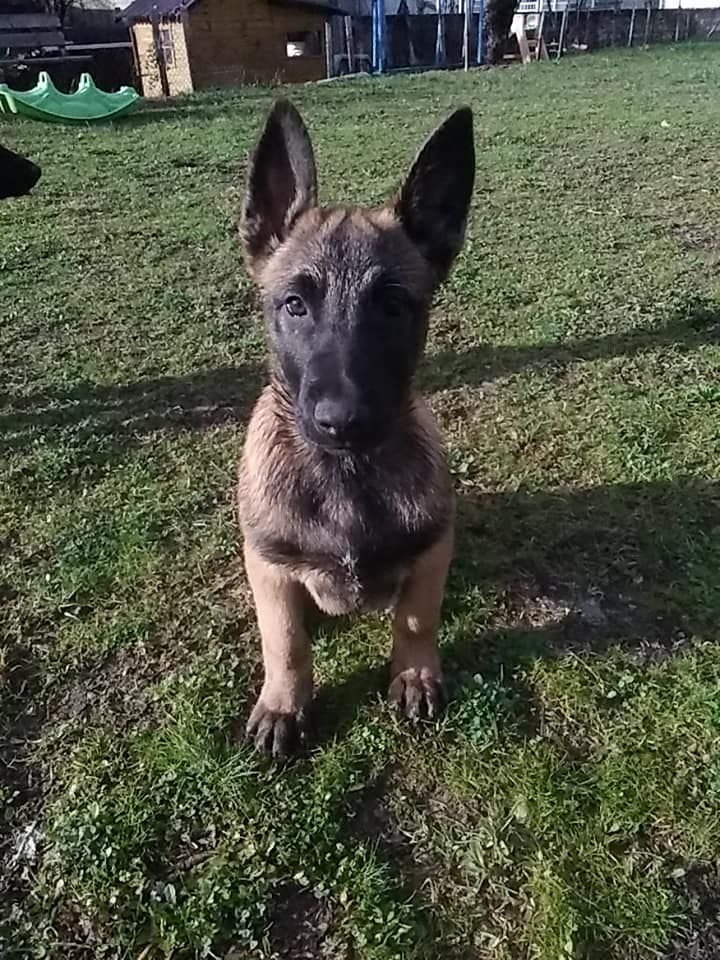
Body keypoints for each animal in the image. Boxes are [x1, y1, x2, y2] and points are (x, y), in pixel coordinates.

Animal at [239, 97, 476, 756]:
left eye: (394, 306)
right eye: (295, 305)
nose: (342, 421)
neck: (345, 475)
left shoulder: (431, 552)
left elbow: (417, 618)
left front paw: (414, 673)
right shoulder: (268, 567)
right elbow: (285, 642)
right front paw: (284, 704)